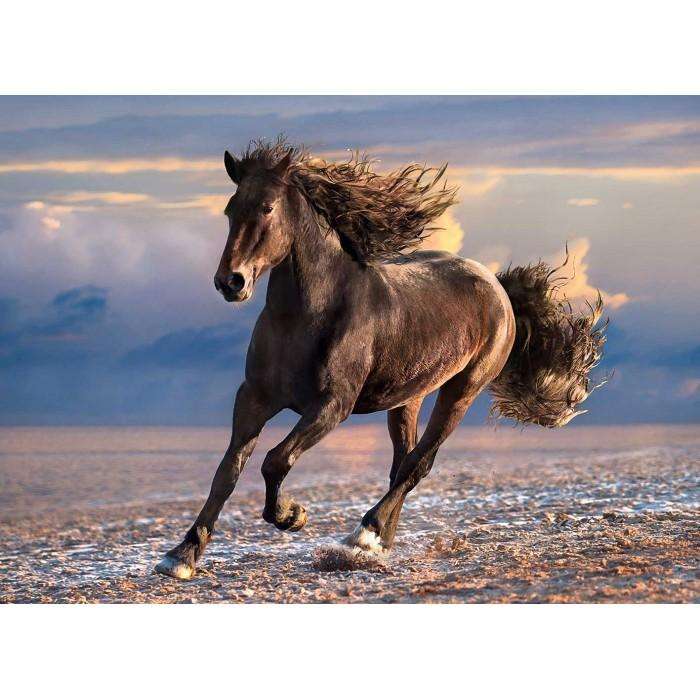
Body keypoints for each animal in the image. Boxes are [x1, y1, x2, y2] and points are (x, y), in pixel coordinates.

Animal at [156, 138, 605, 580]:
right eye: (231, 209)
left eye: (267, 207)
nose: (230, 282)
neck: (306, 317)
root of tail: (497, 287)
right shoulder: (254, 398)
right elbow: (228, 472)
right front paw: (182, 555)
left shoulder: (332, 406)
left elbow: (275, 460)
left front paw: (292, 516)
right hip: (409, 397)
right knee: (402, 462)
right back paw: (379, 542)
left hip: (461, 391)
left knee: (418, 463)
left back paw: (365, 535)